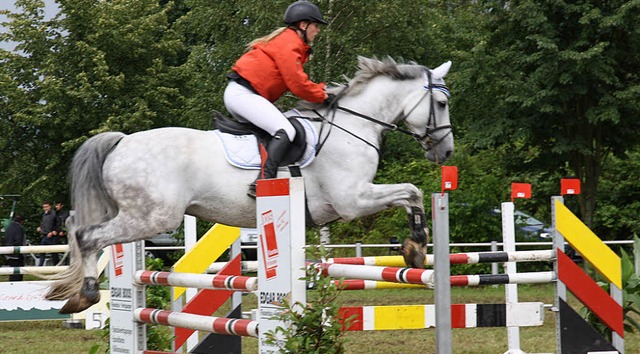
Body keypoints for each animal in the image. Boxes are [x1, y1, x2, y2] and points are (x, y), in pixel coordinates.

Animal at [46, 56, 456, 314]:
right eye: (440, 103)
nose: (446, 150)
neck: (352, 125)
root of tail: (121, 142)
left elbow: (412, 194)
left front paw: (414, 250)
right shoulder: (351, 200)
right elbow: (412, 191)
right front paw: (415, 249)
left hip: (128, 212)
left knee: (76, 226)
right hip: (153, 218)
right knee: (87, 236)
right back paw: (85, 295)